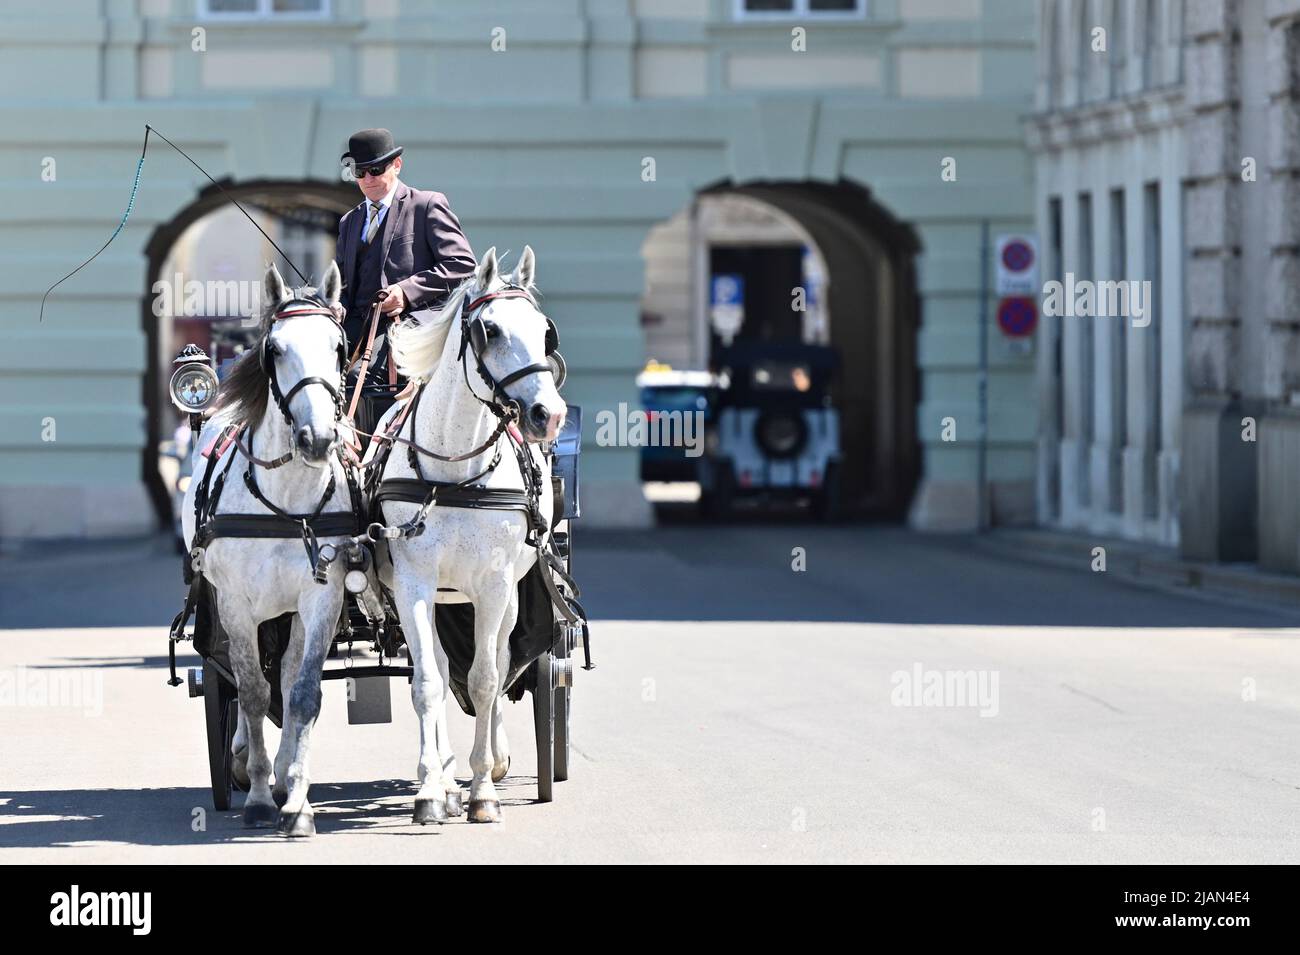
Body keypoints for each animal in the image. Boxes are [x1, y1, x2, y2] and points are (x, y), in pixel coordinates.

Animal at [180, 261, 351, 836]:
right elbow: (253, 692)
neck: (287, 504)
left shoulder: (323, 597)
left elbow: (302, 693)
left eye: (339, 347)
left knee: (290, 671)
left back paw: (282, 774)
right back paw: (246, 765)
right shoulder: (235, 604)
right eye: (274, 349)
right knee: (241, 675)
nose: (317, 439)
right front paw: (255, 795)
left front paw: (296, 800)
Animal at [374, 244, 561, 821]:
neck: (453, 473)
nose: (549, 415)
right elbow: (427, 682)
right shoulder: (412, 583)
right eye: (490, 330)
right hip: (437, 595)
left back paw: (493, 763)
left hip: (508, 597)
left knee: (499, 662)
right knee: (436, 662)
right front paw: (434, 787)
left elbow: (484, 680)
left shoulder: (494, 586)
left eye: (546, 333)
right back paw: (445, 773)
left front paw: (483, 791)